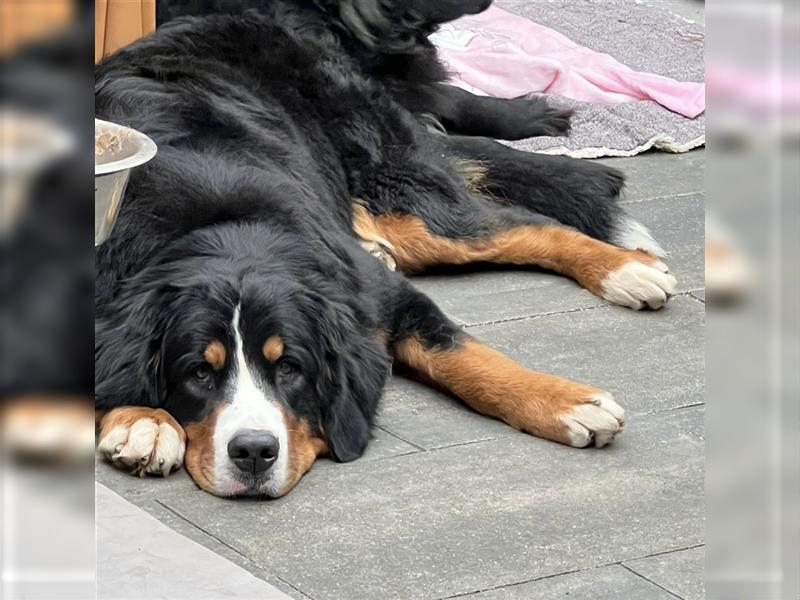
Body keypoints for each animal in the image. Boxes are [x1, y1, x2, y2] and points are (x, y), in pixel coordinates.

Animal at [97, 0, 680, 496]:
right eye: (199, 373)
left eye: (291, 368)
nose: (254, 452)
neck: (227, 229)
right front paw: (143, 422)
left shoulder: (383, 296)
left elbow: (468, 358)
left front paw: (568, 403)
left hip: (403, 195)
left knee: (523, 226)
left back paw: (626, 270)